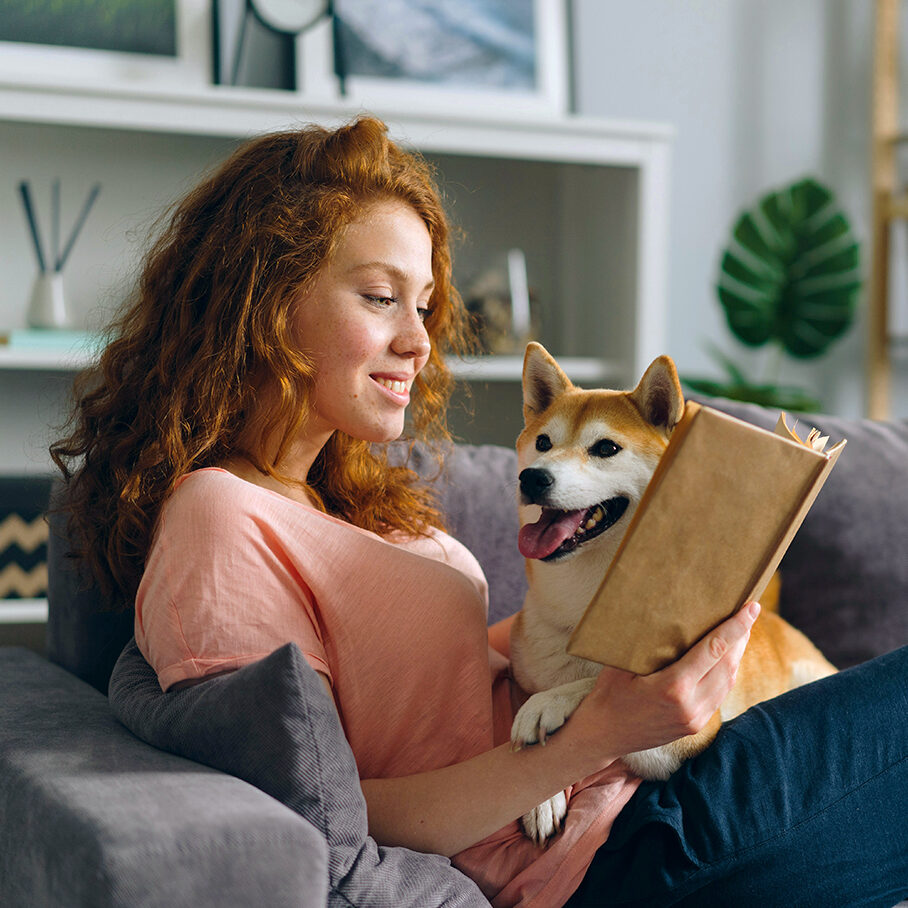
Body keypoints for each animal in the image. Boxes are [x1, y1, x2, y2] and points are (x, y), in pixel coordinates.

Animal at [508, 342, 832, 844]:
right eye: (543, 443)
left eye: (606, 448)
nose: (533, 477)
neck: (583, 615)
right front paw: (540, 797)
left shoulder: (685, 733)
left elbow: (598, 689)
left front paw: (548, 705)